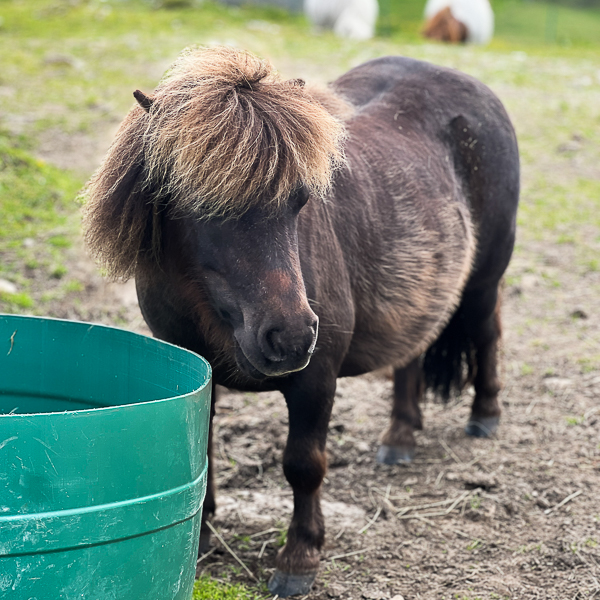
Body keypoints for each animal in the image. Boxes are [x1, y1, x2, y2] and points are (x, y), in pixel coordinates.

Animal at [82, 45, 516, 596]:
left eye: (300, 200)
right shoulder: (197, 375)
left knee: (487, 331)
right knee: (412, 351)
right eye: (200, 205)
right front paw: (200, 541)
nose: (289, 337)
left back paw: (485, 414)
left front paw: (299, 559)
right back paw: (399, 437)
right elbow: (201, 452)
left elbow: (304, 465)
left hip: (483, 281)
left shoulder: (316, 378)